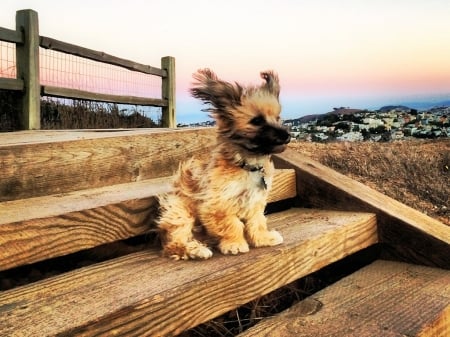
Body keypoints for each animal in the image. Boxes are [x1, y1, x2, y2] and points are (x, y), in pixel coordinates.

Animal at [158, 69, 292, 260]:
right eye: (257, 121)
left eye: (278, 117)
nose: (287, 135)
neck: (247, 164)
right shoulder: (217, 204)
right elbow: (232, 224)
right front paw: (234, 244)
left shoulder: (255, 202)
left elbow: (257, 222)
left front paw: (262, 239)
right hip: (180, 213)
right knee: (174, 244)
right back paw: (197, 250)